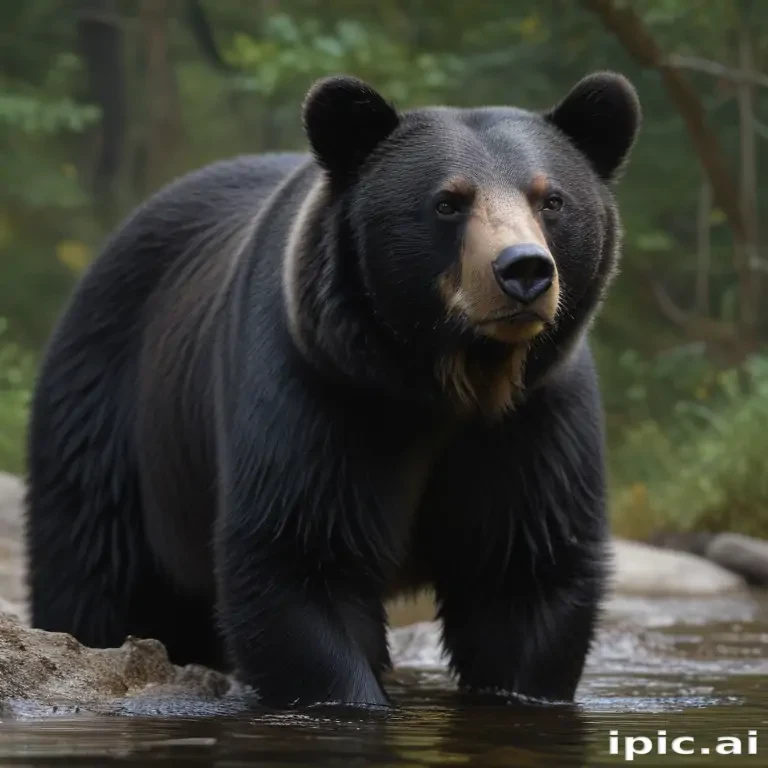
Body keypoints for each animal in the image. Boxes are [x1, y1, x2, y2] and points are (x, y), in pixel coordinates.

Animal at [25, 71, 640, 709]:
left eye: (551, 199)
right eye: (448, 201)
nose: (524, 270)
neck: (447, 380)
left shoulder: (532, 419)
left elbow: (527, 570)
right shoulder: (320, 393)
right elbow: (301, 555)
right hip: (111, 413)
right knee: (96, 567)